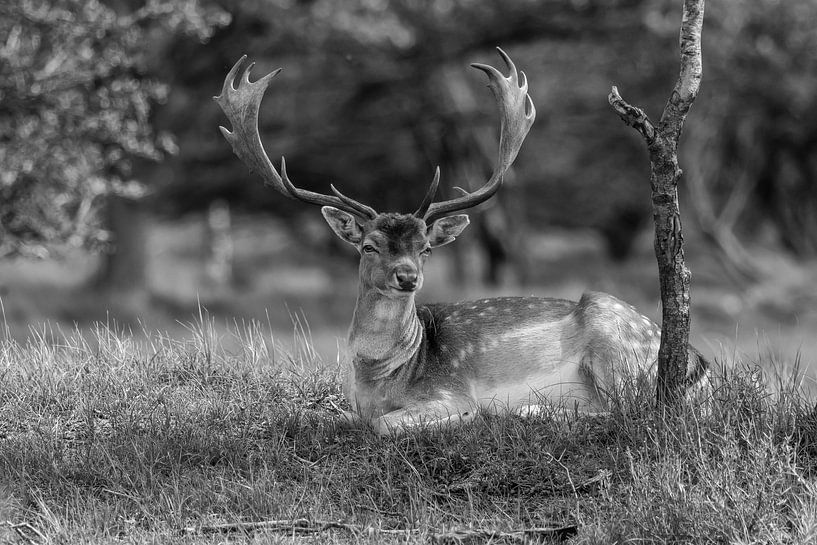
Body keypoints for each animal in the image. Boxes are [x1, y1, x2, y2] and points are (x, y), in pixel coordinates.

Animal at [217, 50, 708, 434]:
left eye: (425, 248)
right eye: (369, 245)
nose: (407, 276)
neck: (380, 375)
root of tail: (699, 367)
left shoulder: (447, 391)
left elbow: (384, 425)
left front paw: (466, 418)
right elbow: (332, 416)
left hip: (616, 346)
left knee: (632, 412)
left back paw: (527, 411)